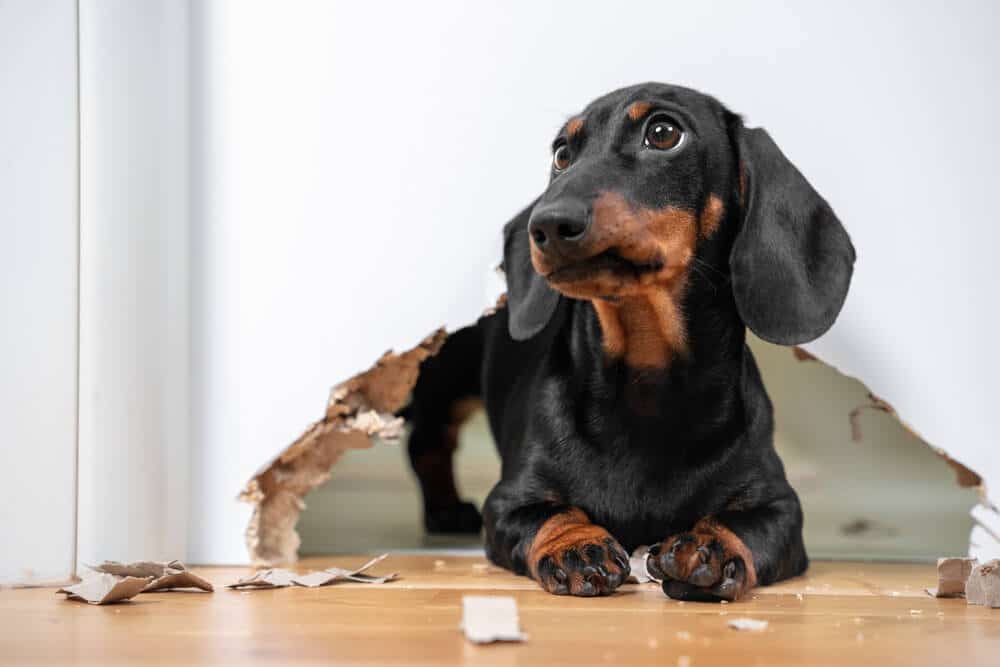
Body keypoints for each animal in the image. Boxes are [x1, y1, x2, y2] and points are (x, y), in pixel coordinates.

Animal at [404, 81, 852, 604]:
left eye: (663, 133)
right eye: (561, 153)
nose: (547, 224)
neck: (646, 375)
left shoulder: (781, 507)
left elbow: (749, 524)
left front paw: (709, 546)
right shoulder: (511, 499)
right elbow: (550, 513)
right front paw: (577, 545)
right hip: (446, 377)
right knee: (428, 440)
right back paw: (445, 509)